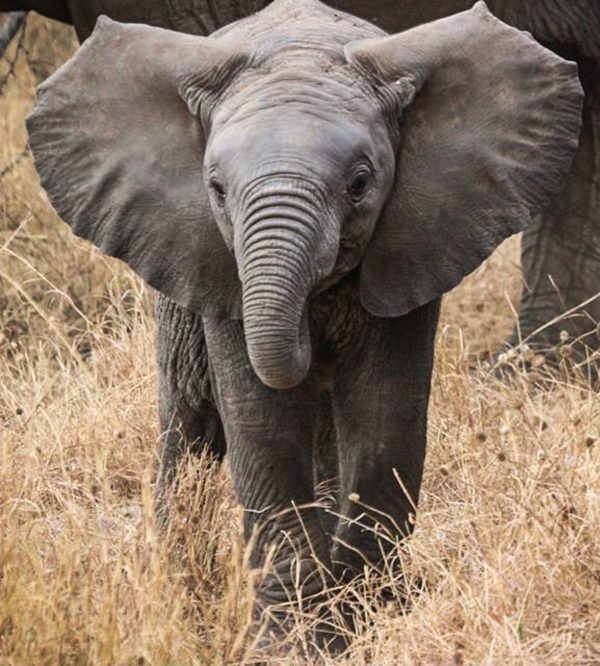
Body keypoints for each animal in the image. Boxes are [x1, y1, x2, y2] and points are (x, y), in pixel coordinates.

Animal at [28, 0, 580, 644]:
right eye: (217, 189)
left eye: (361, 184)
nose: (308, 336)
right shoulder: (218, 267)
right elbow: (262, 422)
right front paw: (293, 639)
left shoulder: (414, 242)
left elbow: (385, 415)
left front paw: (365, 618)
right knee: (188, 421)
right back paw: (178, 587)